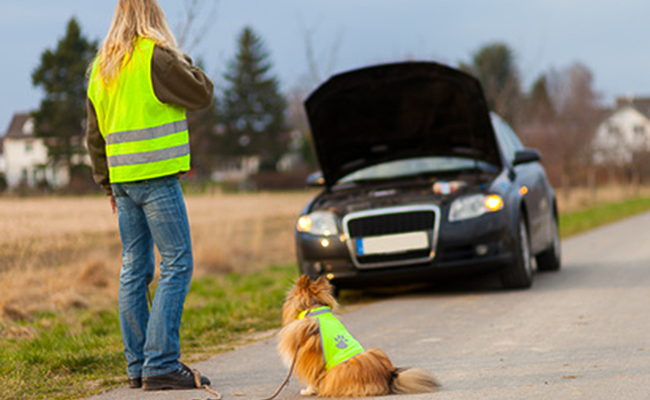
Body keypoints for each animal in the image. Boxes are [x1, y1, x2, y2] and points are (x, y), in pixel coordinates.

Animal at [276, 276, 438, 396]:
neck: (313, 309)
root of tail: (387, 374)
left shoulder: (307, 359)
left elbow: (311, 377)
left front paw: (308, 391)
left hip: (338, 371)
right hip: (375, 351)